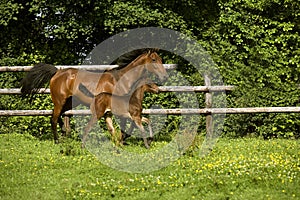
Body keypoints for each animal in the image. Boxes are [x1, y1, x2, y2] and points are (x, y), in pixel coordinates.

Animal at [19, 48, 168, 144]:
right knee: (54, 119)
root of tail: (57, 72)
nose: (164, 77)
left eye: (160, 59)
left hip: (70, 102)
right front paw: (124, 139)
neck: (122, 80)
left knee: (61, 117)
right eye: (153, 59)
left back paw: (65, 134)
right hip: (59, 102)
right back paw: (57, 141)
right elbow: (127, 125)